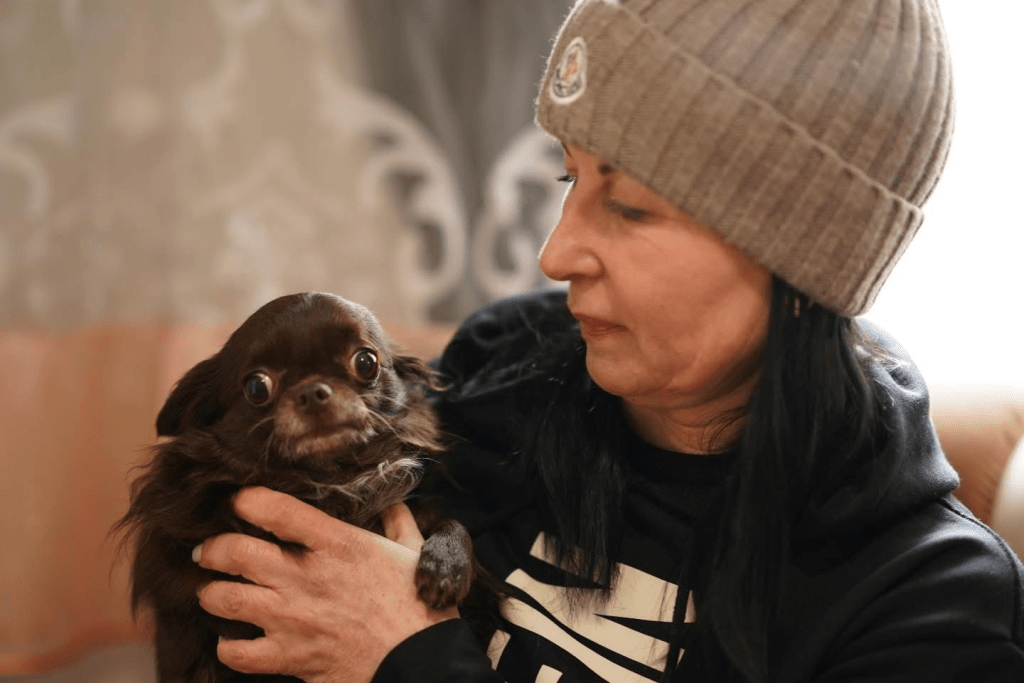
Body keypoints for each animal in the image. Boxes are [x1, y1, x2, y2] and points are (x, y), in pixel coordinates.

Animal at [115, 292, 482, 683]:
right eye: (257, 387)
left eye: (366, 363)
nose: (312, 391)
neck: (330, 477)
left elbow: (452, 523)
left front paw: (446, 566)